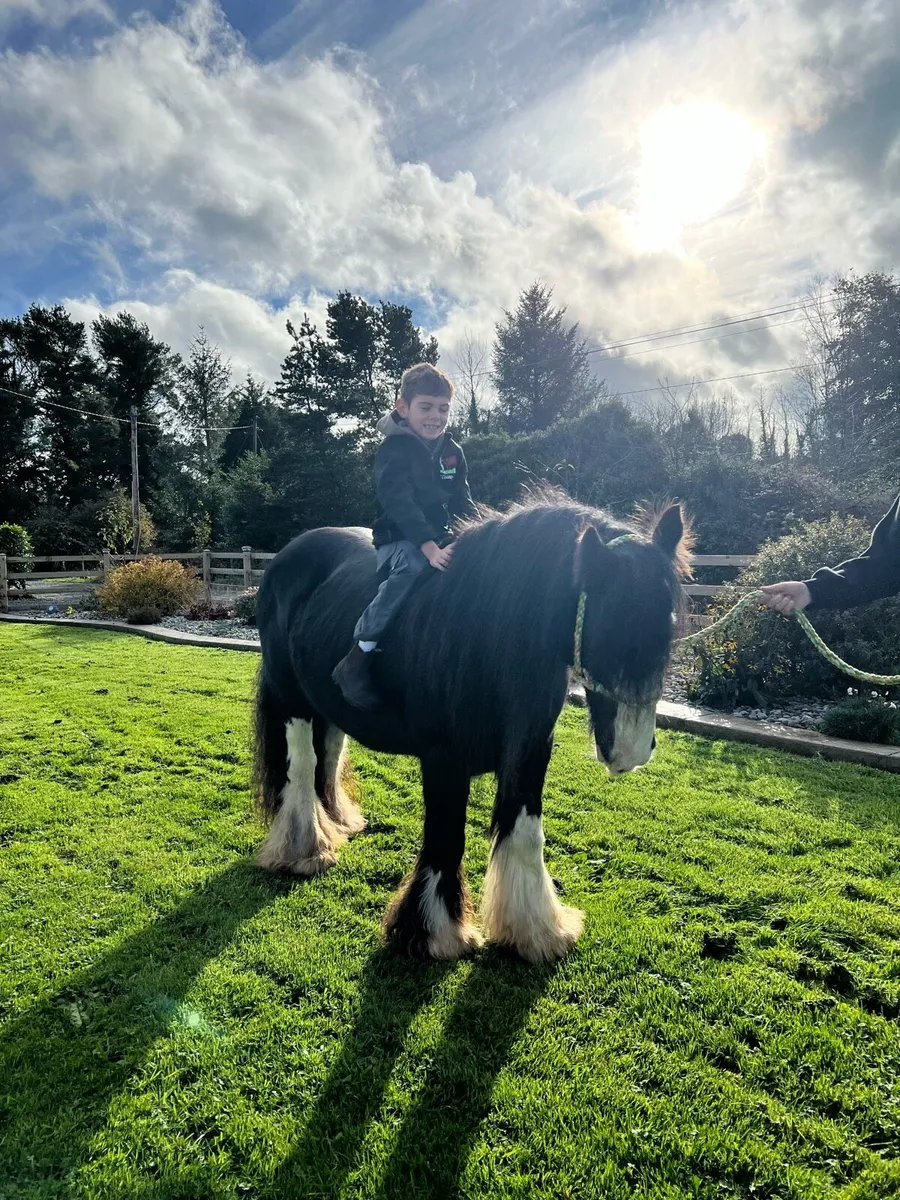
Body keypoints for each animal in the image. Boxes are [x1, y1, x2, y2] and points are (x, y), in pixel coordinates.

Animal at [253, 492, 690, 963]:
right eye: (608, 624)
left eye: (668, 624)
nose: (631, 750)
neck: (486, 631)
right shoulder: (444, 760)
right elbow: (447, 836)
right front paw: (434, 934)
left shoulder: (530, 752)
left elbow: (525, 832)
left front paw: (537, 931)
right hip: (291, 700)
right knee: (301, 766)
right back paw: (306, 850)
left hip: (327, 706)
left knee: (328, 756)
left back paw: (338, 823)